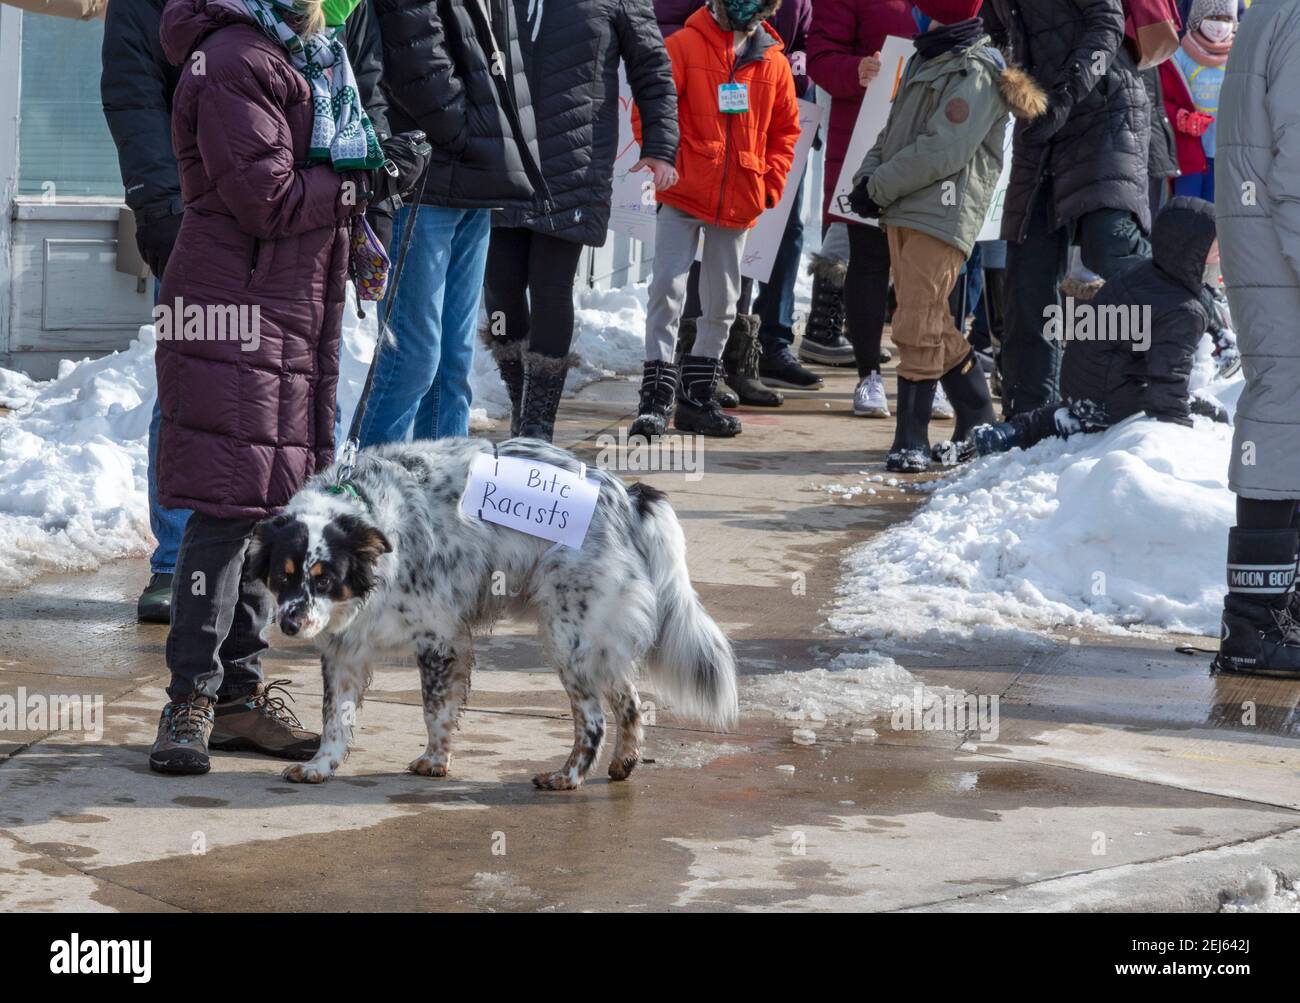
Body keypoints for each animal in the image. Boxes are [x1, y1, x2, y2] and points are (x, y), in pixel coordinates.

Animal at [241, 439, 733, 789]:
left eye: (324, 578)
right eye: (284, 576)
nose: (290, 624)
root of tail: (625, 496)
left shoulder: (439, 641)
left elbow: (434, 709)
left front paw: (434, 761)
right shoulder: (345, 650)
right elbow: (335, 718)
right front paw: (321, 765)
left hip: (567, 639)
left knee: (593, 720)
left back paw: (567, 777)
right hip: (596, 641)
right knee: (629, 702)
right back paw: (623, 762)